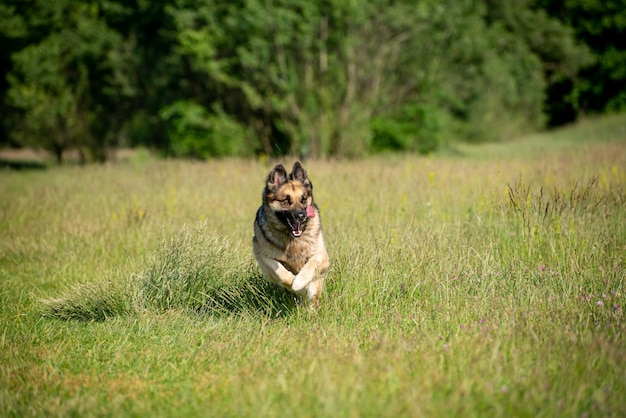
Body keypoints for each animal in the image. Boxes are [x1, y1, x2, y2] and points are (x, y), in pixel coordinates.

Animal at [254, 161, 332, 306]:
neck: (292, 239)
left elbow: (311, 265)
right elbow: (281, 273)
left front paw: (300, 282)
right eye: (285, 201)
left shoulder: (321, 254)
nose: (301, 216)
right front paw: (296, 286)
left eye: (303, 199)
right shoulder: (263, 257)